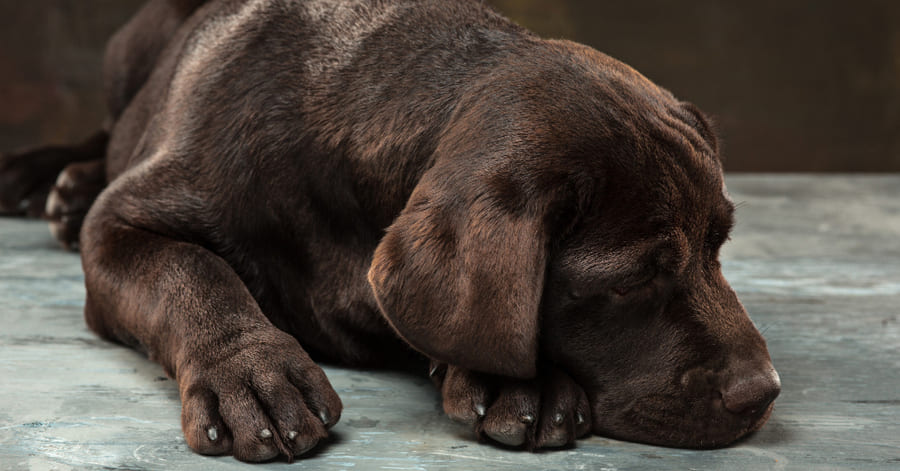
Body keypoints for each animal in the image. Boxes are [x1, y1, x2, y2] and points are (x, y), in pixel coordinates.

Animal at [0, 0, 780, 464]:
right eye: (632, 280)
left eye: (719, 247)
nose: (763, 392)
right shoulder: (123, 223)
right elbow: (191, 272)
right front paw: (250, 372)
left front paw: (519, 381)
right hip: (128, 56)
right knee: (108, 131)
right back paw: (54, 183)